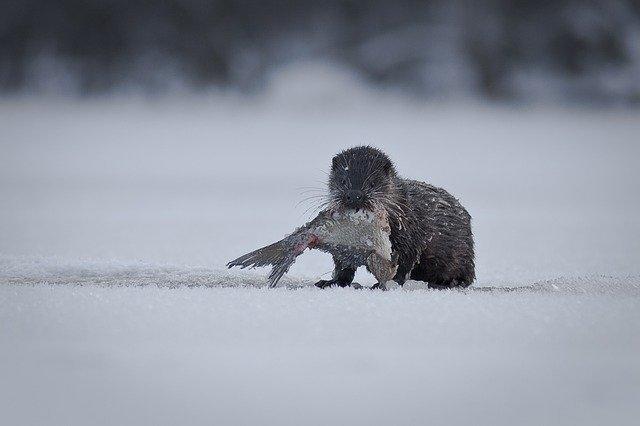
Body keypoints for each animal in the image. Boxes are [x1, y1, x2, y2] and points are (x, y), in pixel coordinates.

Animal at [316, 146, 476, 290]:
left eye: (372, 183)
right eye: (343, 181)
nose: (354, 195)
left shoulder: (408, 235)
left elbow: (404, 263)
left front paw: (385, 284)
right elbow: (343, 264)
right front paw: (331, 282)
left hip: (461, 256)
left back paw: (445, 283)